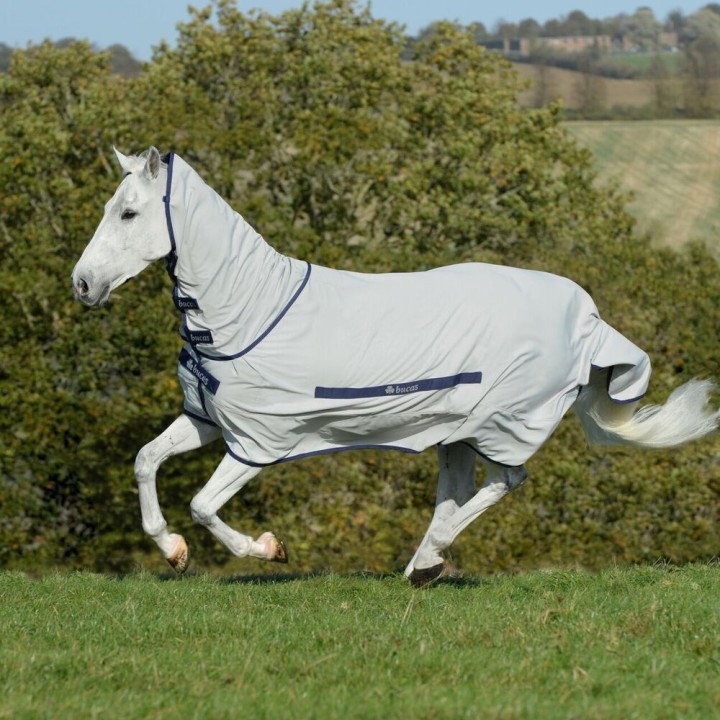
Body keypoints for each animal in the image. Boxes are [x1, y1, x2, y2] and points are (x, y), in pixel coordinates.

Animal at [72, 147, 719, 587]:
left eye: (127, 213)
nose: (81, 284)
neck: (248, 310)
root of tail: (588, 318)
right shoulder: (207, 419)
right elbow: (145, 461)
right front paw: (173, 551)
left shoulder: (260, 439)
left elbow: (204, 505)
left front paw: (270, 548)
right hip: (456, 431)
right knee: (457, 492)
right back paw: (422, 565)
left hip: (502, 423)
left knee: (507, 481)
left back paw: (429, 560)